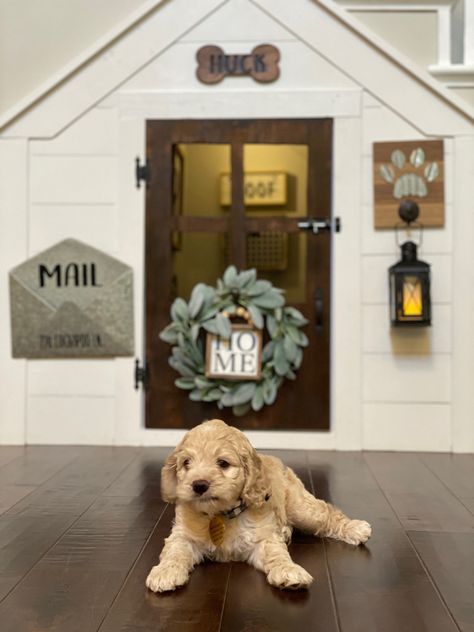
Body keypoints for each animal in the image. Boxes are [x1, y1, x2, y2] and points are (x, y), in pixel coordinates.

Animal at [146, 420, 372, 592]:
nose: (199, 485)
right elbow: (175, 552)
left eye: (223, 463)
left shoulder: (262, 538)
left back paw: (356, 528)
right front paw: (165, 572)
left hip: (301, 508)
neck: (220, 514)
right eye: (186, 463)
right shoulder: (183, 535)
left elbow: (276, 554)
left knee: (327, 513)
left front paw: (289, 571)